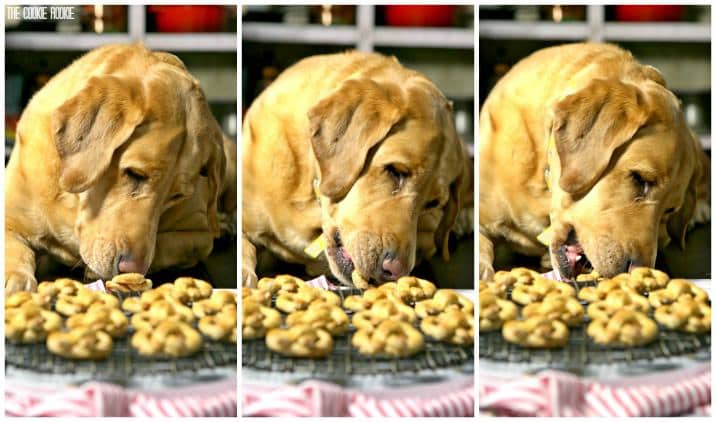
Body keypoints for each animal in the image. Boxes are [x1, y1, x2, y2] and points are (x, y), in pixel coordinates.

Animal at [5, 43, 236, 294]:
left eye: (177, 197)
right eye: (135, 174)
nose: (130, 268)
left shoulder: (199, 237)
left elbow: (162, 246)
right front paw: (14, 276)